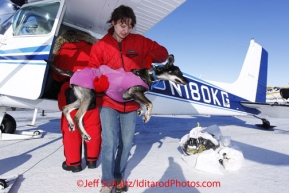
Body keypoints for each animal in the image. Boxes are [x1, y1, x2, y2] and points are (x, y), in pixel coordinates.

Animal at [44, 54, 188, 140]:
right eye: (177, 72)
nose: (186, 81)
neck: (149, 74)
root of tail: (74, 73)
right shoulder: (135, 92)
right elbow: (150, 103)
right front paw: (147, 116)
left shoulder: (132, 95)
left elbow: (142, 103)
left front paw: (140, 110)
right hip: (89, 98)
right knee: (77, 117)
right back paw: (84, 135)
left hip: (81, 99)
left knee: (66, 108)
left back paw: (71, 125)